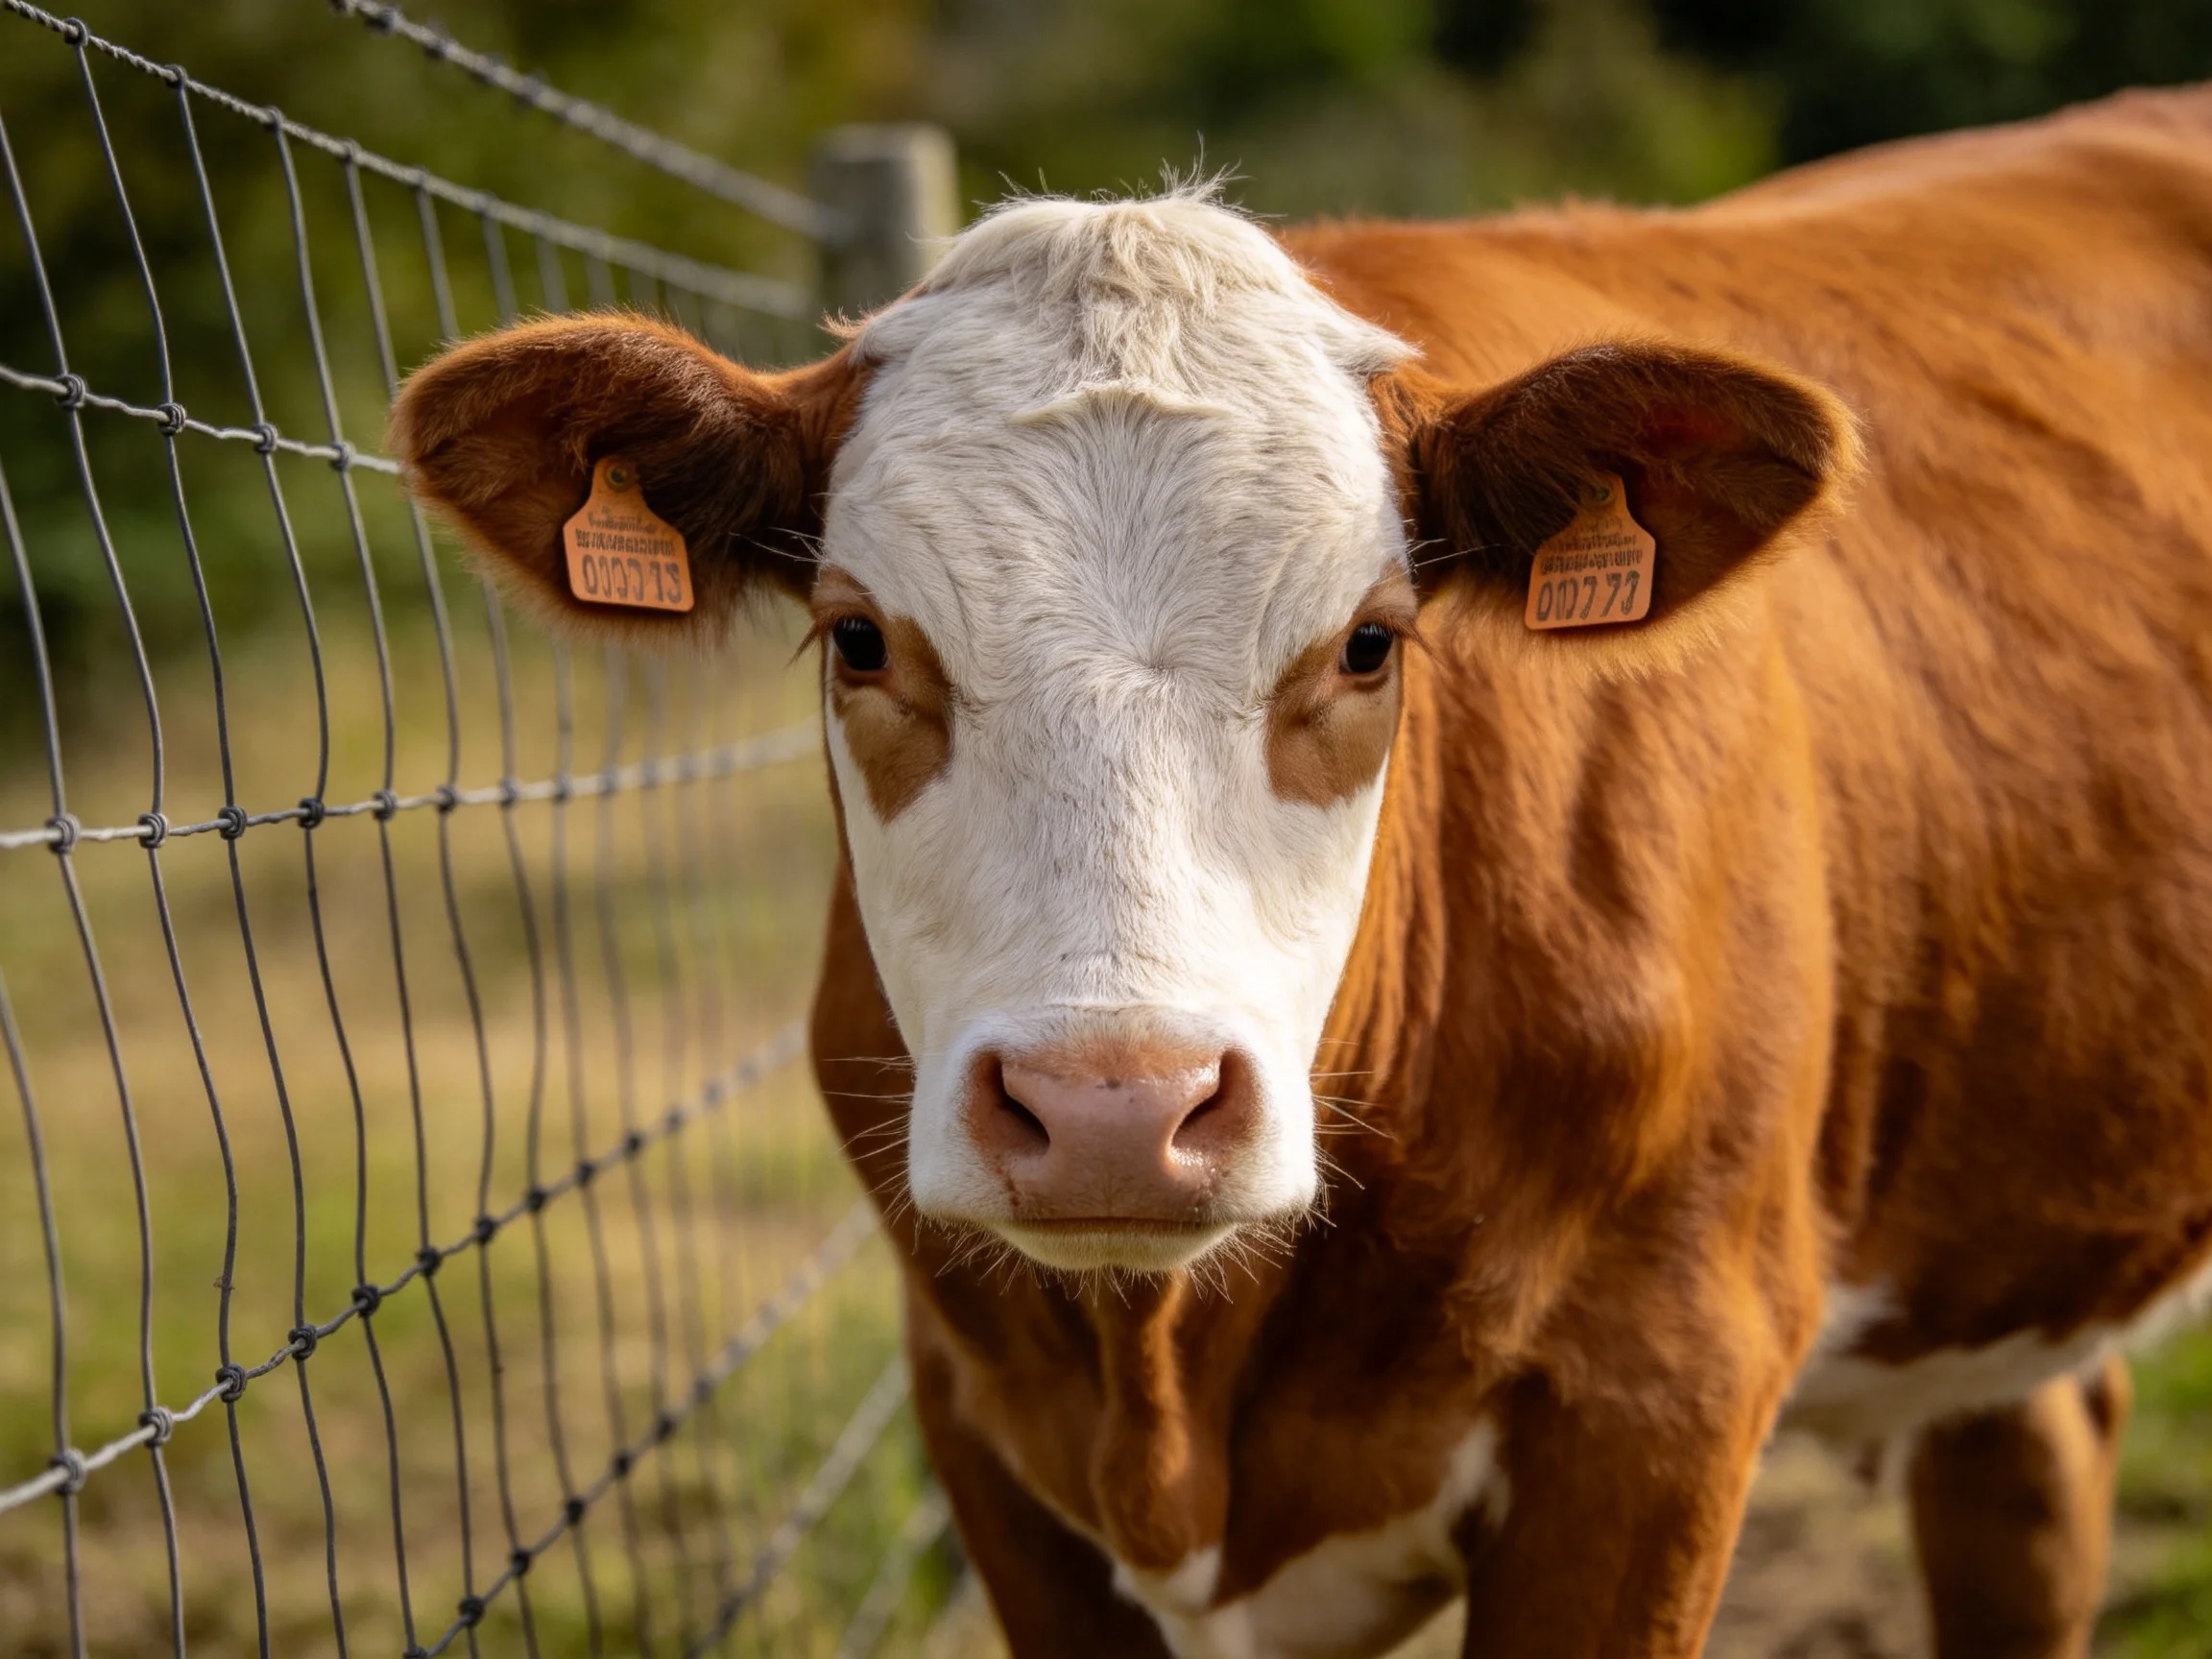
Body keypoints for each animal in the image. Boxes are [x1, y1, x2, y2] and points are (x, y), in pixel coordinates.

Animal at [391, 84, 2212, 1659]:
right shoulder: (986, 1432)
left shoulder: (1655, 1406)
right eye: (857, 636)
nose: (1112, 1108)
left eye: (1367, 642)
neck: (1172, 1388)